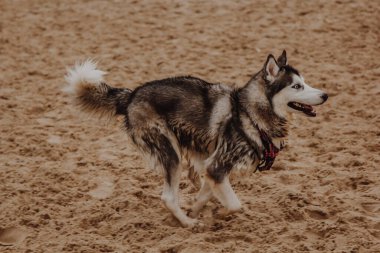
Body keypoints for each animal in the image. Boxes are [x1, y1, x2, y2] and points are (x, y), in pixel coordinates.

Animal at [64, 50, 326, 226]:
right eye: (297, 86)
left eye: (304, 82)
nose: (325, 94)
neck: (249, 114)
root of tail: (132, 95)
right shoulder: (217, 166)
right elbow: (235, 205)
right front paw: (217, 214)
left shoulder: (214, 167)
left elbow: (206, 193)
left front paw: (198, 209)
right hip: (170, 153)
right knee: (168, 197)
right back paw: (188, 224)